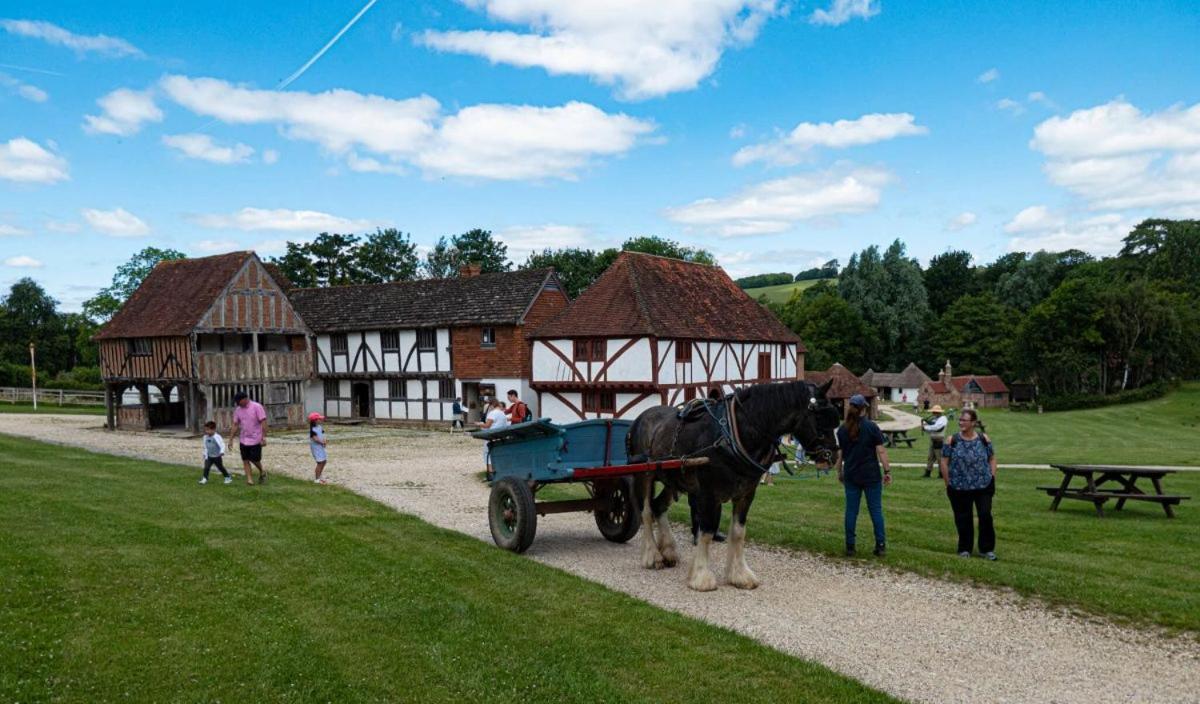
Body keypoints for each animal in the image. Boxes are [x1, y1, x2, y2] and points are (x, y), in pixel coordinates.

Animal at [624, 378, 840, 590]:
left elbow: (738, 532)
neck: (733, 434)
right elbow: (707, 531)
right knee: (646, 512)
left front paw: (739, 575)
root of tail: (640, 418)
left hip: (674, 479)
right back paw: (653, 555)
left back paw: (669, 550)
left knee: (658, 506)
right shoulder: (708, 493)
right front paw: (701, 577)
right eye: (820, 417)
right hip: (645, 474)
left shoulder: (746, 493)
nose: (832, 457)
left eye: (835, 417)